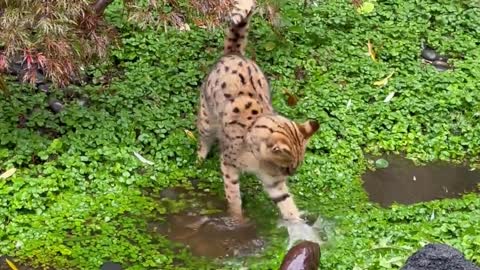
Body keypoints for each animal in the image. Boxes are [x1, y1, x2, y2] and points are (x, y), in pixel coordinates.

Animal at [195, 0, 318, 224]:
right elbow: (233, 196)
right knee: (203, 140)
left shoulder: (274, 182)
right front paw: (237, 219)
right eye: (286, 167)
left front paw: (297, 224)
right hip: (207, 118)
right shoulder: (228, 165)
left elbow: (287, 203)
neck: (258, 161)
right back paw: (199, 159)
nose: (290, 176)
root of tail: (234, 53)